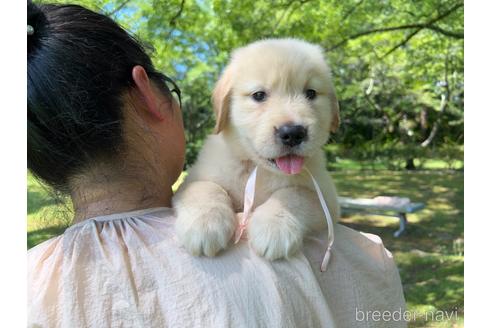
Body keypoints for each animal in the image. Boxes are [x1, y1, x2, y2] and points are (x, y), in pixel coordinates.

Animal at [175, 37, 340, 258]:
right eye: (259, 95)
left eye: (311, 93)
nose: (293, 133)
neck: (259, 168)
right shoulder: (193, 179)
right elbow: (205, 187)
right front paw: (205, 223)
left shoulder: (327, 197)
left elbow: (296, 194)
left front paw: (273, 226)